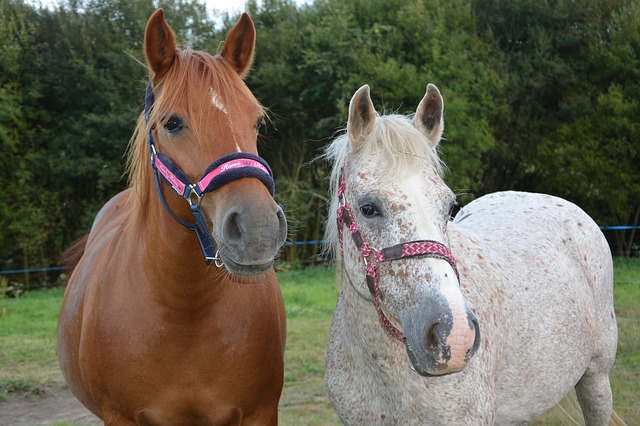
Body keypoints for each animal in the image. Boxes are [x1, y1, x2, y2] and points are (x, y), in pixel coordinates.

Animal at [57, 10, 288, 426]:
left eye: (258, 122)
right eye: (172, 123)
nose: (258, 229)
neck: (185, 311)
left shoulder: (260, 413)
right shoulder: (119, 416)